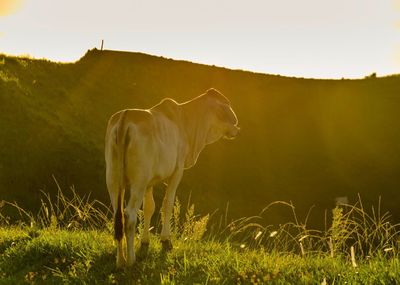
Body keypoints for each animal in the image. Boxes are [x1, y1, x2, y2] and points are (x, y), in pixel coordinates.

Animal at [104, 87, 239, 266]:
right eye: (225, 108)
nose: (237, 129)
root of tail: (124, 118)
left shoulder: (150, 182)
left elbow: (149, 208)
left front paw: (145, 241)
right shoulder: (176, 172)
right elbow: (167, 204)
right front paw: (166, 241)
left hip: (113, 180)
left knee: (117, 214)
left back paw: (120, 260)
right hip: (138, 182)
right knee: (129, 215)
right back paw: (131, 260)